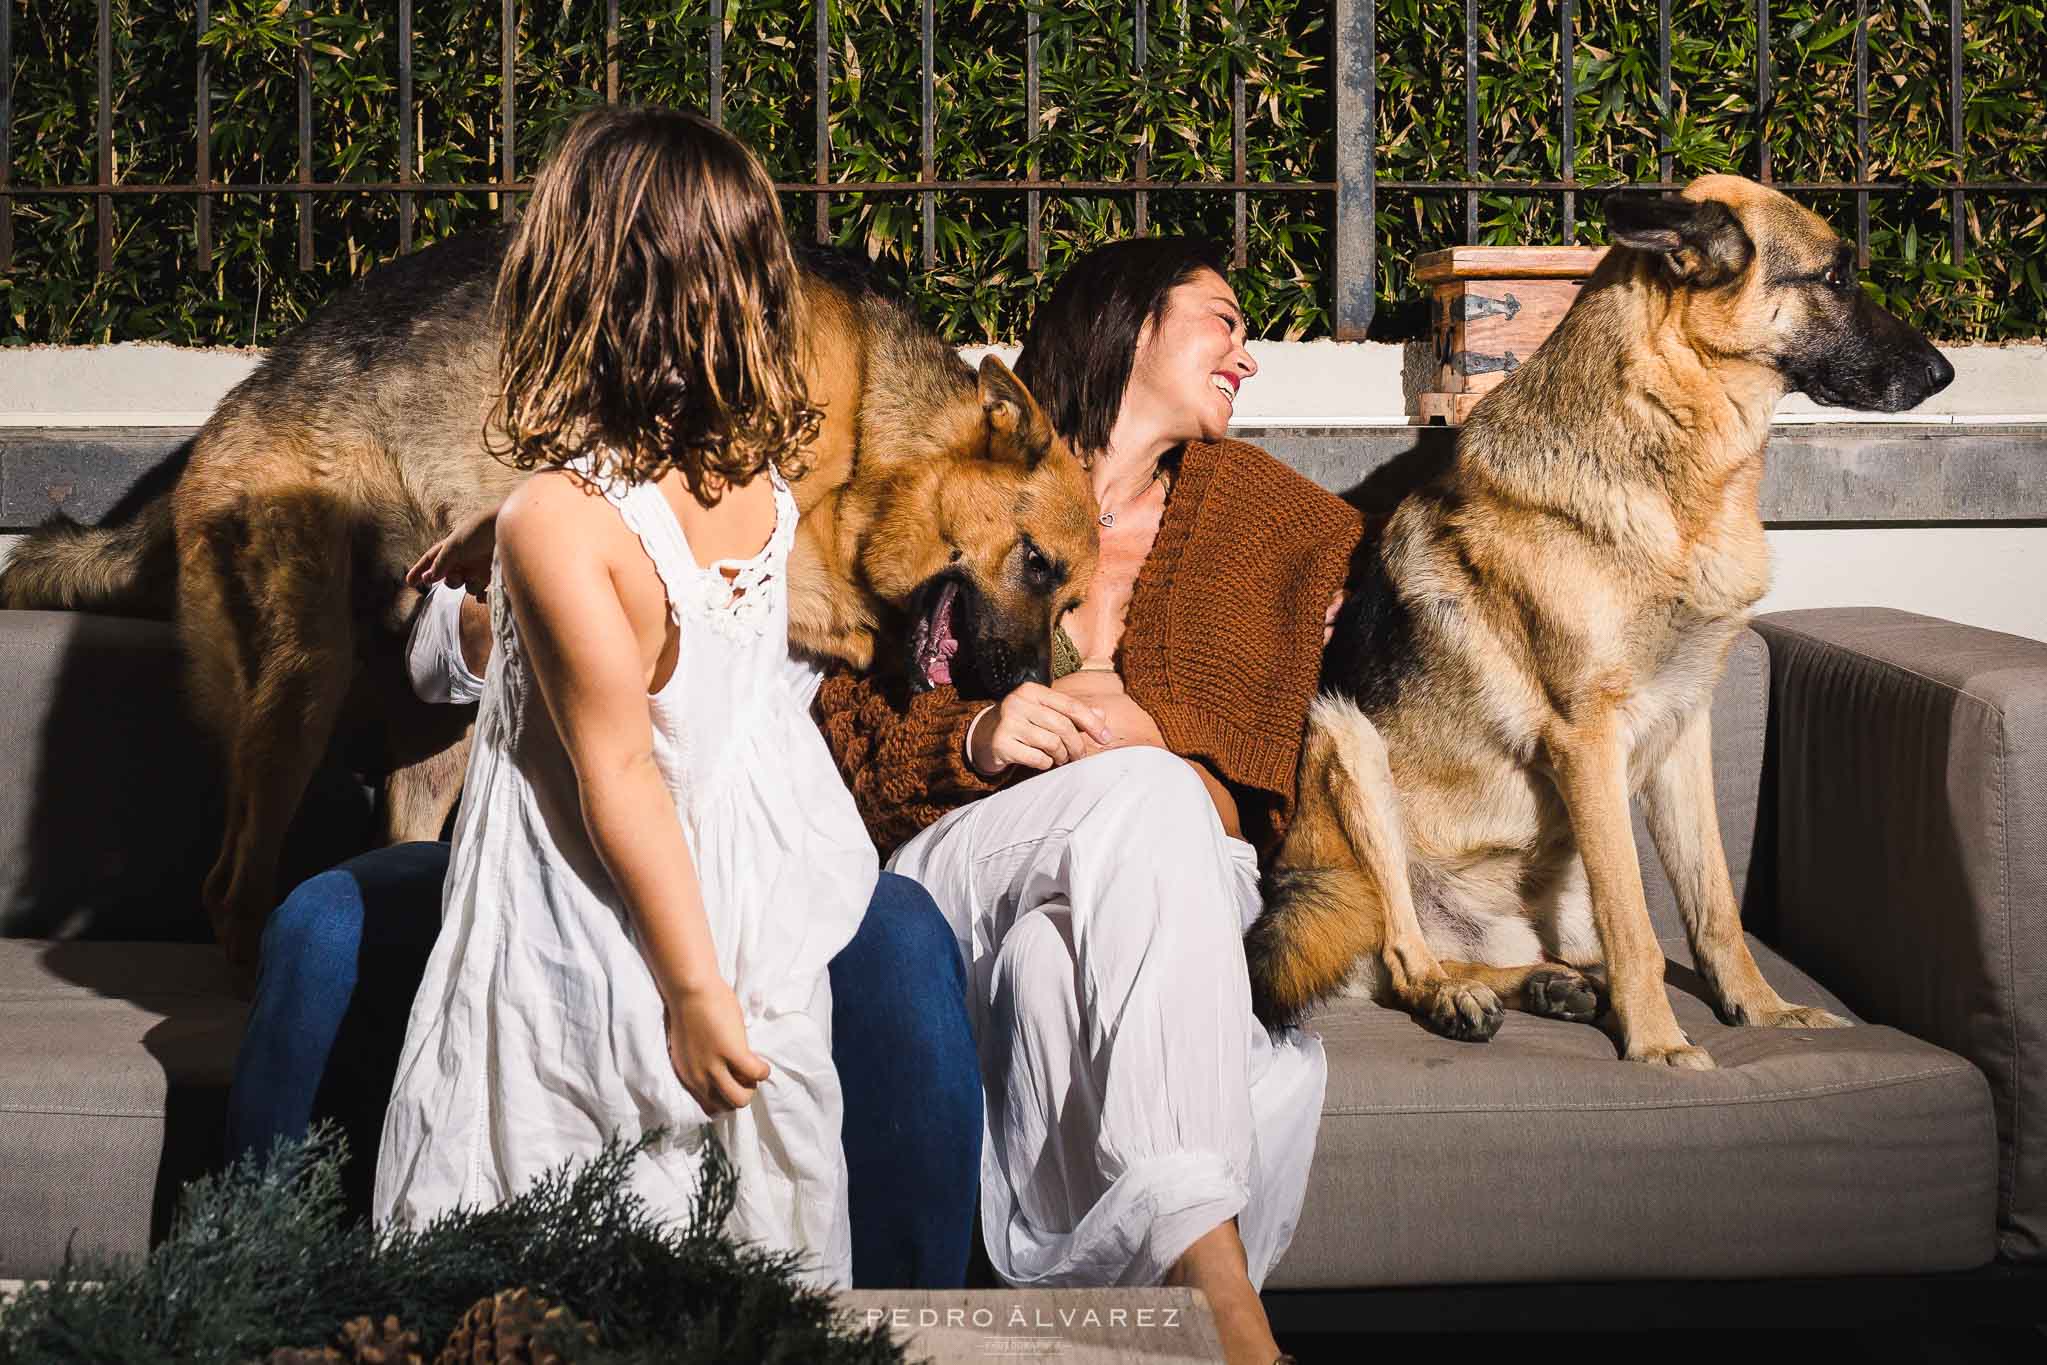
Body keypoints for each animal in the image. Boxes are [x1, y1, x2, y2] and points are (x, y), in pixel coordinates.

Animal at [0, 232, 1105, 961]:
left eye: (1068, 601)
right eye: (1038, 566)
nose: (1020, 685)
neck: (874, 431)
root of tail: (226, 414)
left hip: (434, 733)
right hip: (301, 681)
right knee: (232, 887)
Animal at [1244, 173, 1948, 1064]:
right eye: (1835, 276)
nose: (1943, 371)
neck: (1676, 468)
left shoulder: (1681, 730)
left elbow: (1712, 905)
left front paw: (1759, 1009)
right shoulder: (1587, 737)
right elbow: (1636, 923)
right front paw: (1657, 1045)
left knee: (1537, 949)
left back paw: (1547, 983)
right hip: (1345, 742)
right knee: (1406, 951)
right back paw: (1453, 994)